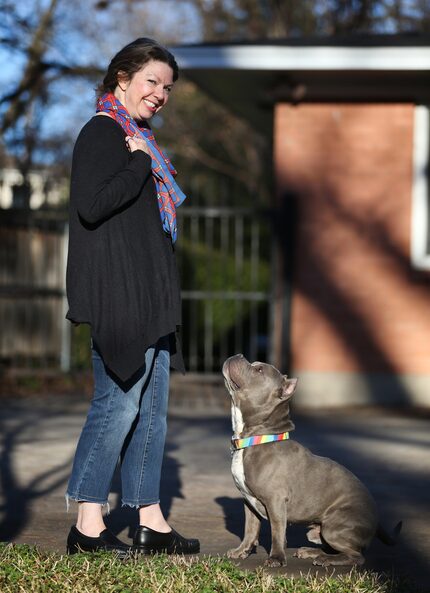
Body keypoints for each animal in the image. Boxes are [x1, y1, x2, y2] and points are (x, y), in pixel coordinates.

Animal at [223, 354, 402, 568]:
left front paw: (276, 558)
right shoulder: (249, 501)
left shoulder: (276, 500)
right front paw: (241, 551)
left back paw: (325, 560)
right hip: (320, 531)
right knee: (334, 548)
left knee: (356, 556)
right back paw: (311, 552)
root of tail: (377, 520)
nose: (239, 355)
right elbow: (250, 529)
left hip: (334, 526)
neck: (257, 438)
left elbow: (277, 531)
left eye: (259, 370)